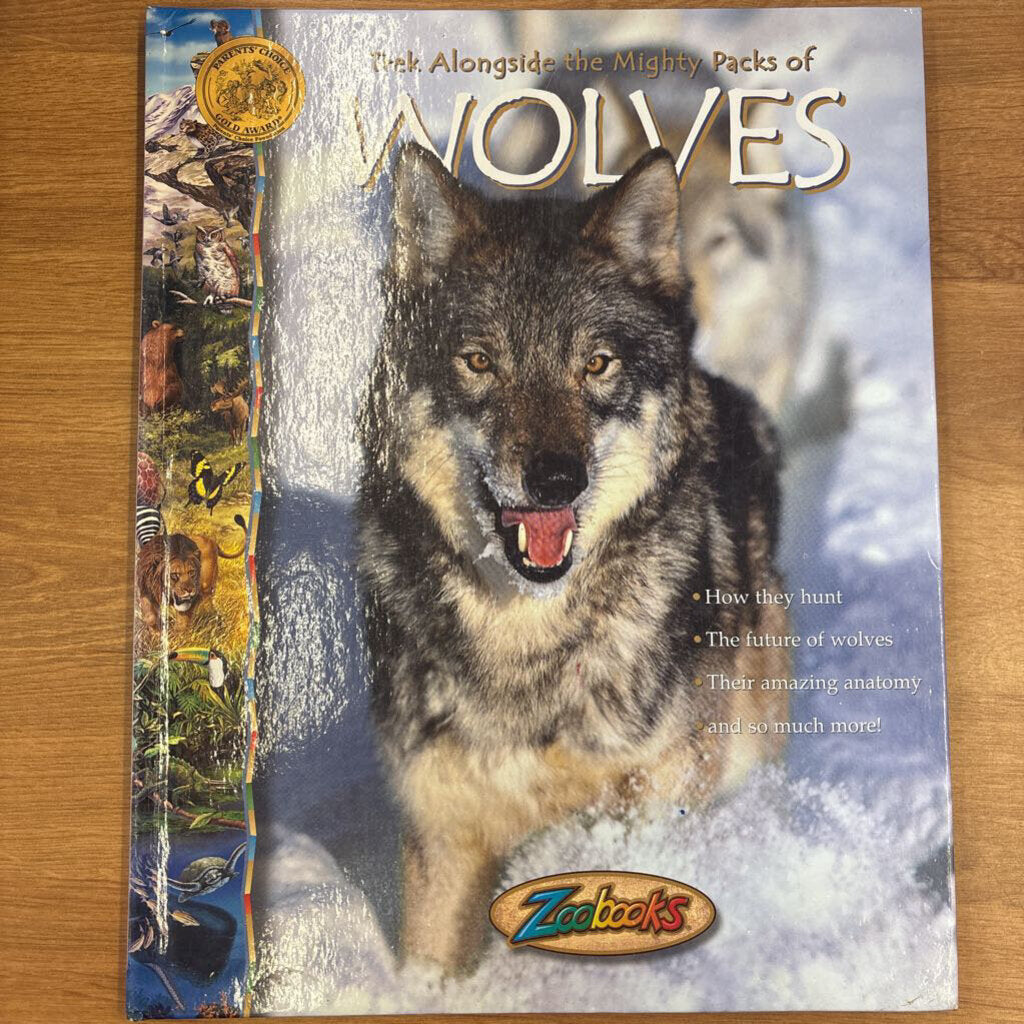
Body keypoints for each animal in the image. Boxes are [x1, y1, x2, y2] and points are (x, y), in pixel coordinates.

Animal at [357, 143, 789, 973]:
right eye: (479, 361)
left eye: (596, 364)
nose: (557, 478)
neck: (527, 645)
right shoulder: (444, 833)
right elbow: (431, 959)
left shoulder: (649, 800)